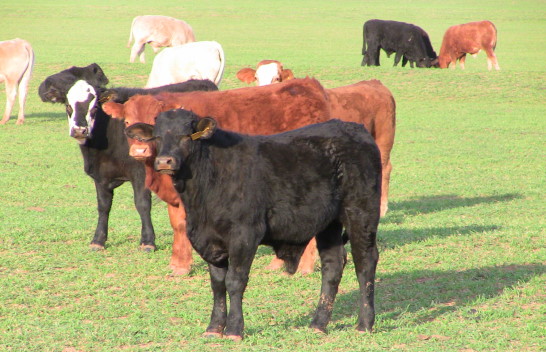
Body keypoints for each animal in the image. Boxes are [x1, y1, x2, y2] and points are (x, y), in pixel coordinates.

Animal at [39, 69, 217, 256]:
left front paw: (147, 241)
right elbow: (103, 206)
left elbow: (142, 204)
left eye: (94, 107)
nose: (79, 130)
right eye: (68, 106)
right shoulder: (100, 176)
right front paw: (98, 240)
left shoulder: (140, 174)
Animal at [102, 78, 394, 274]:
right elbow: (178, 226)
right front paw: (177, 265)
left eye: (152, 119)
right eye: (127, 123)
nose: (138, 150)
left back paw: (304, 267)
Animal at [126, 110, 380, 340]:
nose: (164, 161)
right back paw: (318, 324)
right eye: (157, 137)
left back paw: (364, 324)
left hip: (361, 212)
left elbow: (235, 281)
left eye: (186, 135)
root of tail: (353, 128)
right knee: (333, 265)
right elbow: (217, 284)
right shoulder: (210, 240)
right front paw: (214, 328)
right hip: (328, 223)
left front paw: (234, 330)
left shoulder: (244, 234)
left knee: (365, 262)